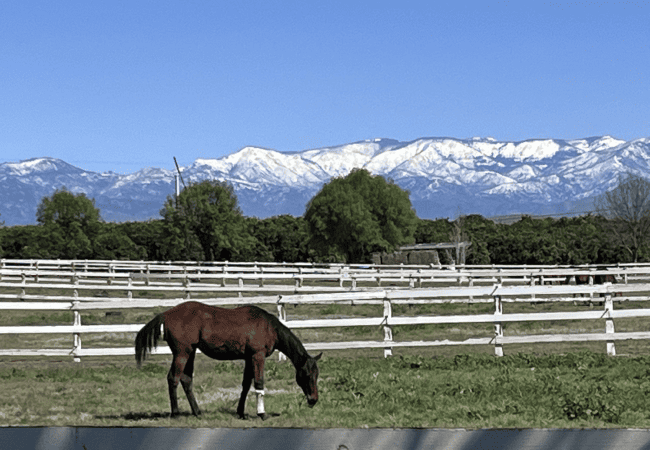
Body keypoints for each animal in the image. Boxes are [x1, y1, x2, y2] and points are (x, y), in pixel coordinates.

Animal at [134, 301, 322, 420]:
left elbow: (246, 384)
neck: (269, 327)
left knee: (186, 379)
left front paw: (241, 413)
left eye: (316, 375)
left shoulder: (248, 358)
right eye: (306, 375)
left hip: (190, 352)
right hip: (182, 353)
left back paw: (197, 412)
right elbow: (259, 383)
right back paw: (176, 413)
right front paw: (261, 414)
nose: (313, 399)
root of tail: (166, 314)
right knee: (173, 378)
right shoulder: (257, 356)